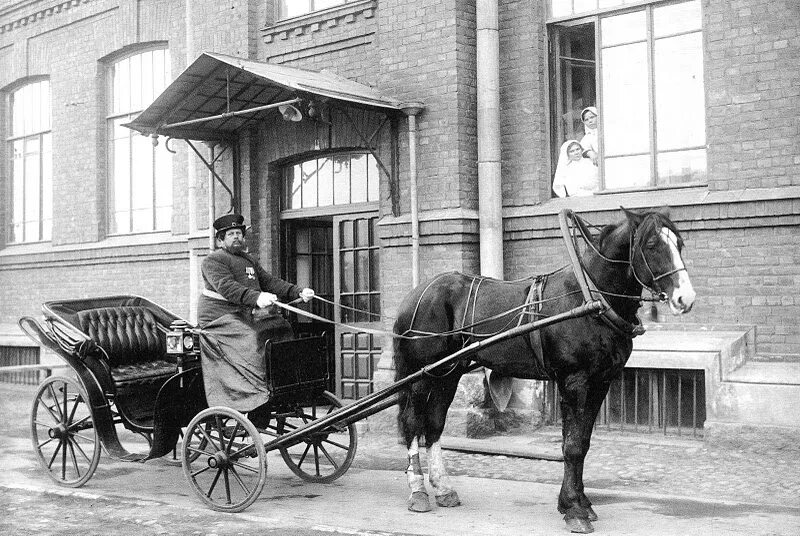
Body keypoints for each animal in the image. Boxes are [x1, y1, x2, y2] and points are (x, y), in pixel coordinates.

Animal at [392, 207, 692, 532]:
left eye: (679, 243)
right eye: (651, 245)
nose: (685, 298)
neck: (590, 297)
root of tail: (416, 294)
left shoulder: (601, 382)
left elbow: (582, 442)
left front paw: (579, 502)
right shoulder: (574, 381)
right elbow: (572, 446)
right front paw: (574, 509)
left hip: (448, 372)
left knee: (434, 424)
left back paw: (444, 488)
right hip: (422, 375)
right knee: (412, 423)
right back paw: (418, 491)